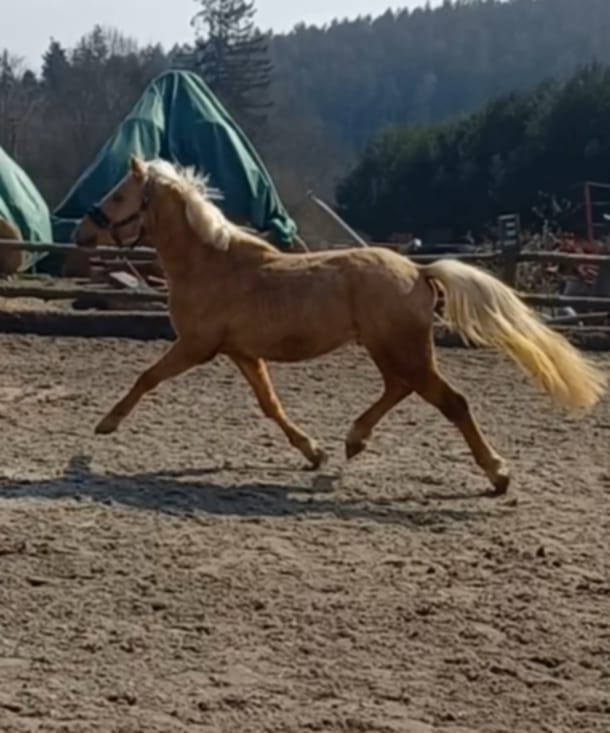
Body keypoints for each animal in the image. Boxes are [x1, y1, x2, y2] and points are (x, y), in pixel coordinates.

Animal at [73, 155, 607, 495]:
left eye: (117, 195)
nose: (81, 232)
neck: (212, 264)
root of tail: (419, 271)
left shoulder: (195, 346)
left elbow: (147, 377)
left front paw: (104, 425)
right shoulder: (241, 352)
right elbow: (270, 404)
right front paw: (313, 452)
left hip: (403, 350)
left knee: (451, 402)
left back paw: (497, 474)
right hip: (388, 350)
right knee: (399, 389)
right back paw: (353, 441)